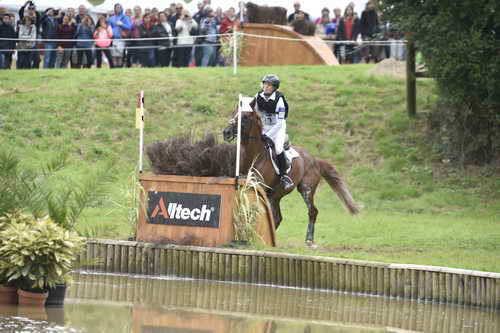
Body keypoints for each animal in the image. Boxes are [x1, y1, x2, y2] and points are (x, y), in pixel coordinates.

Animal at [223, 109, 360, 246]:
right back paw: (273, 239)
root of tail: (315, 159)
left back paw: (309, 239)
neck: (254, 155)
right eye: (234, 113)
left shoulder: (259, 187)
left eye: (245, 117)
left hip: (306, 189)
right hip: (275, 196)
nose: (226, 132)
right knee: (278, 217)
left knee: (312, 211)